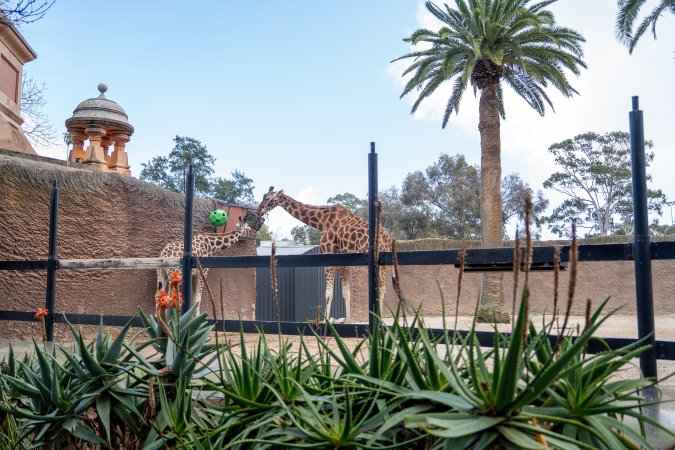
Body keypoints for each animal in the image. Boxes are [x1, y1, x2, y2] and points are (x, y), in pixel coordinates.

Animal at [253, 187, 393, 323]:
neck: (322, 221)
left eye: (267, 198)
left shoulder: (328, 253)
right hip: (384, 263)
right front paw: (348, 322)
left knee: (380, 289)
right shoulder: (343, 259)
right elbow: (346, 292)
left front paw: (326, 325)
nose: (258, 211)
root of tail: (387, 238)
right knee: (383, 289)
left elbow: (328, 294)